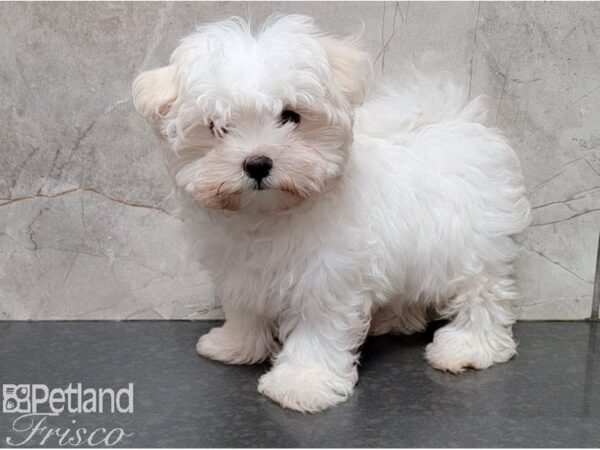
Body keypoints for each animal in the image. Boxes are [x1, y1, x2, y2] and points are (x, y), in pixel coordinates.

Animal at [131, 15, 528, 414]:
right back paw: (397, 319)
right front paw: (235, 344)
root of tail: (457, 123)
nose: (257, 163)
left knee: (482, 293)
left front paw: (301, 383)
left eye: (291, 116)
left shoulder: (326, 277)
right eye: (217, 126)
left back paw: (467, 346)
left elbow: (316, 330)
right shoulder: (239, 270)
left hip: (472, 245)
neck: (269, 214)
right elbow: (245, 308)